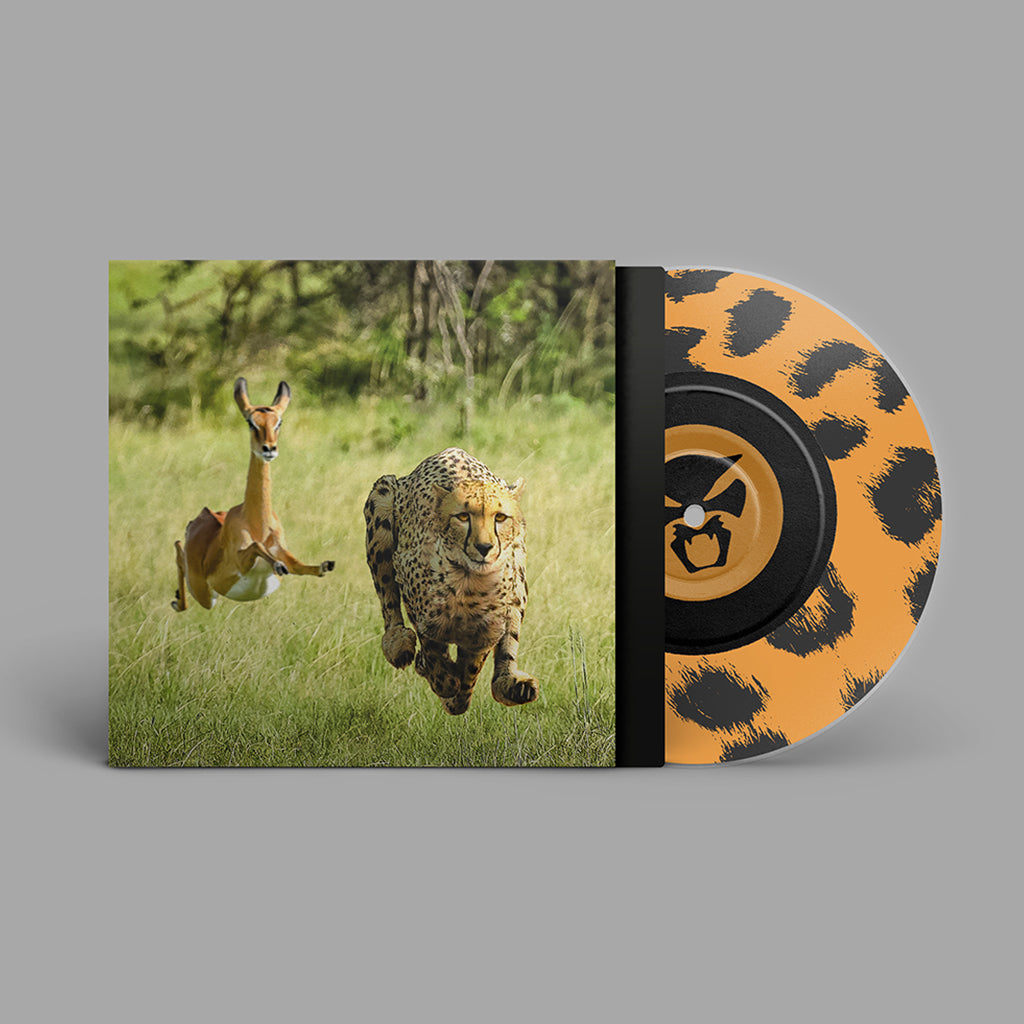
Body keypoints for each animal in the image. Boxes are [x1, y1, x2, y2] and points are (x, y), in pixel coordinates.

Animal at [171, 378, 335, 611]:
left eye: (279, 422)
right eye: (251, 422)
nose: (269, 448)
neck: (258, 525)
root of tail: (201, 516)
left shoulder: (283, 550)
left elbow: (300, 565)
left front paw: (325, 565)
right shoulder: (241, 559)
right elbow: (258, 547)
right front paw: (278, 564)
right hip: (204, 594)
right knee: (178, 549)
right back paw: (177, 602)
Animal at [363, 447, 537, 715]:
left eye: (500, 517)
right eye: (463, 517)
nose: (484, 547)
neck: (469, 583)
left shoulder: (486, 631)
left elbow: (471, 667)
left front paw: (456, 697)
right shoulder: (421, 609)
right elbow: (433, 650)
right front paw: (442, 681)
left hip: (519, 576)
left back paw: (512, 687)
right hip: (383, 497)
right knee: (387, 598)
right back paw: (398, 645)